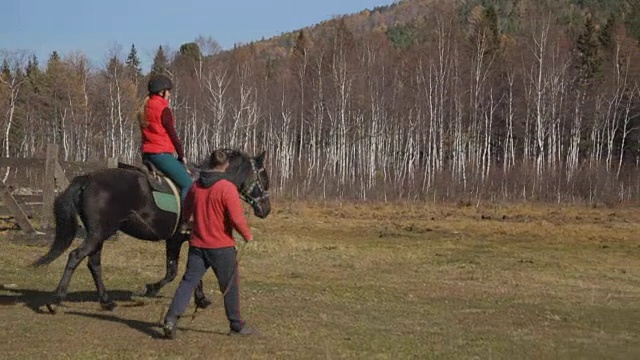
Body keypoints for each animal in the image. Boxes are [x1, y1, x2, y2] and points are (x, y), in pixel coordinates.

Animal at [31, 149, 270, 312]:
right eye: (264, 178)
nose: (266, 209)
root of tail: (89, 178)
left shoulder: (177, 240)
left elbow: (183, 270)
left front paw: (199, 298)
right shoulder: (185, 239)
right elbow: (178, 272)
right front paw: (150, 289)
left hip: (98, 234)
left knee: (93, 263)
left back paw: (106, 301)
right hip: (98, 233)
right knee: (75, 256)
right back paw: (57, 299)